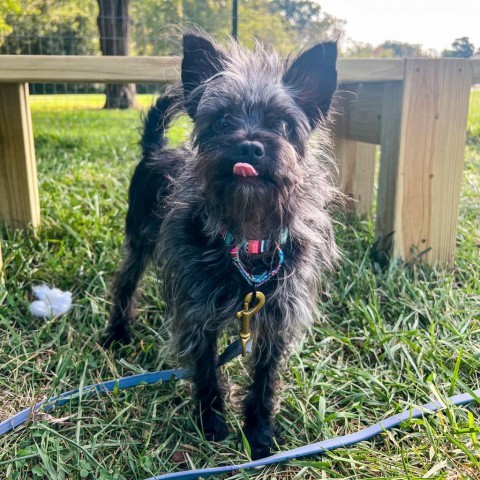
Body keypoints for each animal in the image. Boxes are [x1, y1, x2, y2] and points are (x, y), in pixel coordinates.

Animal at [103, 32, 340, 458]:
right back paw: (117, 332)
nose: (248, 146)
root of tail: (154, 151)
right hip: (139, 242)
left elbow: (265, 378)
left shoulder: (276, 318)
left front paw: (259, 431)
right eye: (223, 120)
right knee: (125, 284)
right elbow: (206, 369)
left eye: (281, 124)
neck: (247, 237)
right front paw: (212, 421)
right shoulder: (199, 314)